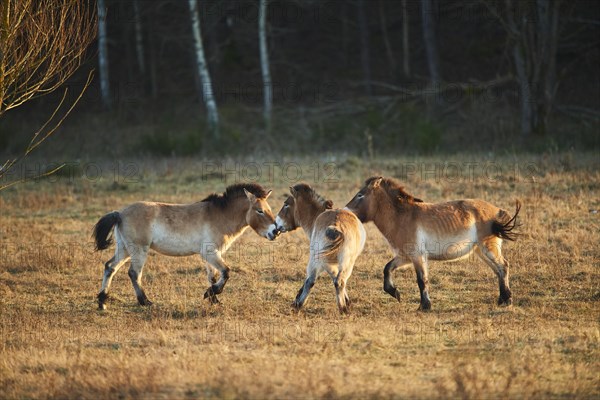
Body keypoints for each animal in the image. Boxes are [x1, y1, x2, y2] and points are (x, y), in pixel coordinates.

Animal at [92, 181, 278, 310]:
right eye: (260, 211)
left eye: (269, 209)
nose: (275, 231)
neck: (220, 215)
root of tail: (119, 213)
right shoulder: (211, 253)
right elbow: (226, 272)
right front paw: (211, 294)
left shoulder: (210, 255)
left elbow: (213, 277)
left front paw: (214, 299)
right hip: (139, 250)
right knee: (134, 273)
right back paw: (145, 302)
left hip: (124, 249)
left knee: (110, 267)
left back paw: (102, 302)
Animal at [268, 183, 366, 314]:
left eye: (286, 204)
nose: (276, 227)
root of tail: (336, 225)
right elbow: (336, 277)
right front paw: (347, 301)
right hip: (347, 261)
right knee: (339, 281)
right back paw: (343, 309)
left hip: (317, 259)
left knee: (311, 280)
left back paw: (300, 305)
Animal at [344, 177, 524, 310]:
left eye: (360, 195)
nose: (346, 211)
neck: (401, 217)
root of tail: (497, 211)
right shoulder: (405, 256)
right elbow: (387, 268)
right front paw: (395, 293)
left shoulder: (417, 256)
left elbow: (422, 280)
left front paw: (424, 306)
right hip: (481, 251)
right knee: (498, 270)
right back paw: (502, 299)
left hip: (488, 248)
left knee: (503, 266)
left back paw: (507, 300)